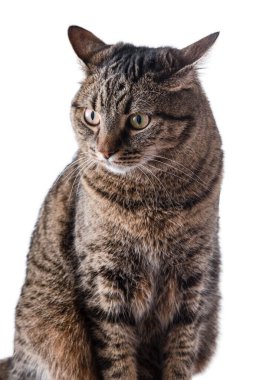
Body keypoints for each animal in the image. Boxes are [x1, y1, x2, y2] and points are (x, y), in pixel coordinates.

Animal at [0, 25, 221, 378]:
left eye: (139, 120)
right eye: (92, 116)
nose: (104, 151)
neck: (151, 199)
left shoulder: (194, 279)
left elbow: (181, 352)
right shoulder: (105, 279)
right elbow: (117, 357)